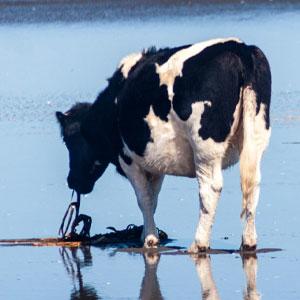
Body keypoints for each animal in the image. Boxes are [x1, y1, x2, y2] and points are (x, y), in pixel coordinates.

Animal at [55, 37, 270, 252]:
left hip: (205, 148)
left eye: (67, 140)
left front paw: (150, 239)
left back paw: (199, 243)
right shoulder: (156, 164)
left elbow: (144, 198)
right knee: (253, 184)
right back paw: (249, 242)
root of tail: (239, 47)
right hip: (257, 136)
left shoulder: (127, 159)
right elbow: (153, 198)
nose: (72, 180)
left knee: (210, 189)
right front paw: (146, 234)